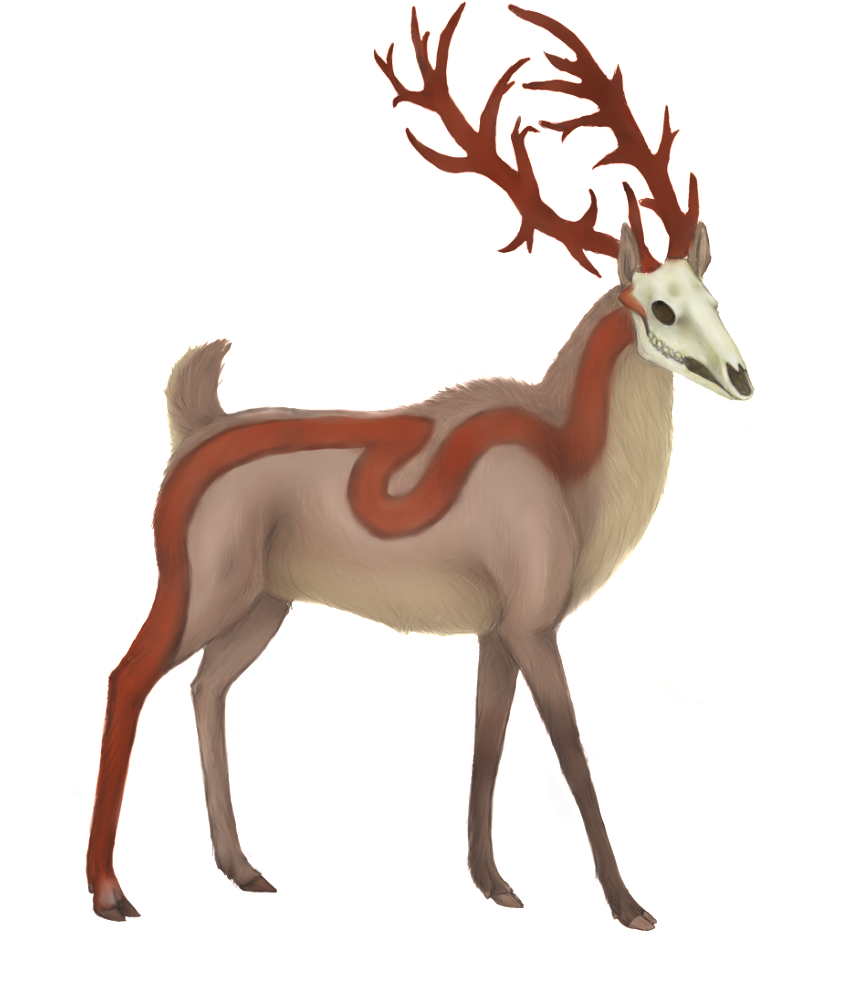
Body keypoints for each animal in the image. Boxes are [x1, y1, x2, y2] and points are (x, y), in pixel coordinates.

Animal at [84, 2, 753, 929]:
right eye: (659, 307)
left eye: (715, 298)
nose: (742, 376)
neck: (573, 471)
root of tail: (192, 428)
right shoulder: (536, 622)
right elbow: (573, 753)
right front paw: (630, 906)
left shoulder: (499, 628)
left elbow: (487, 738)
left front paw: (494, 883)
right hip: (198, 585)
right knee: (129, 679)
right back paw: (112, 891)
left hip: (265, 601)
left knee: (207, 688)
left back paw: (244, 868)